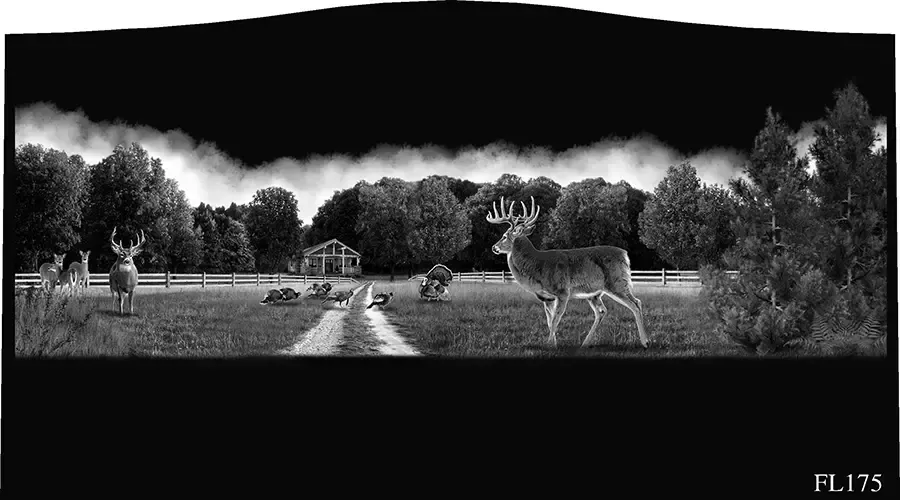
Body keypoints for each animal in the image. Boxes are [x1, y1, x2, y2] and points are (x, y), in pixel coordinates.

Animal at [486, 196, 650, 349]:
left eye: (504, 236)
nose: (494, 247)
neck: (537, 265)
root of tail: (625, 255)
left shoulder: (562, 291)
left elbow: (555, 320)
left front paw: (548, 345)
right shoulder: (546, 298)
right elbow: (549, 321)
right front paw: (553, 345)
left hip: (617, 282)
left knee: (636, 303)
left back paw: (645, 342)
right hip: (595, 293)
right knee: (602, 311)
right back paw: (585, 344)